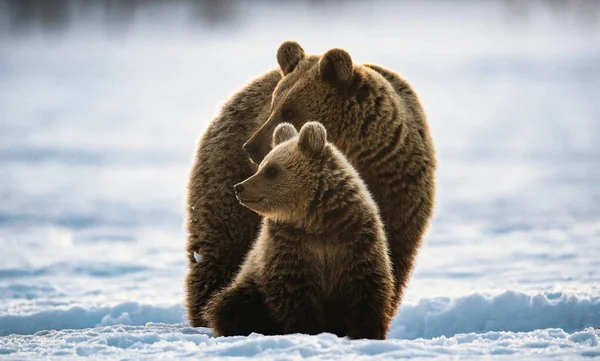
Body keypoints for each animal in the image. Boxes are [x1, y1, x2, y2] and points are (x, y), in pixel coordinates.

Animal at [204, 122, 396, 338]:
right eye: (262, 166)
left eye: (272, 170)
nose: (239, 187)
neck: (315, 222)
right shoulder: (290, 245)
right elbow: (294, 292)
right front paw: (306, 330)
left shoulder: (354, 238)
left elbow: (366, 285)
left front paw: (367, 331)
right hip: (249, 287)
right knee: (229, 305)